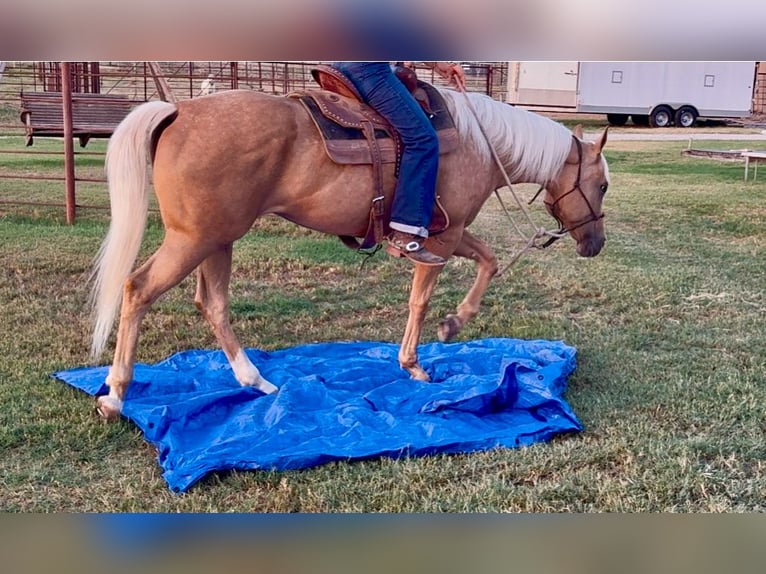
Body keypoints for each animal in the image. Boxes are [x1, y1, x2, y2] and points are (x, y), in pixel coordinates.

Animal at [89, 86, 610, 421]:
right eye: (602, 184)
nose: (595, 244)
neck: (481, 142)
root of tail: (177, 110)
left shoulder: (451, 232)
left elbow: (488, 260)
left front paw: (454, 323)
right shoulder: (438, 241)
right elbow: (420, 300)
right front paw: (414, 364)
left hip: (217, 240)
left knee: (212, 304)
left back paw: (256, 382)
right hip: (192, 240)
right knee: (138, 289)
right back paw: (116, 395)